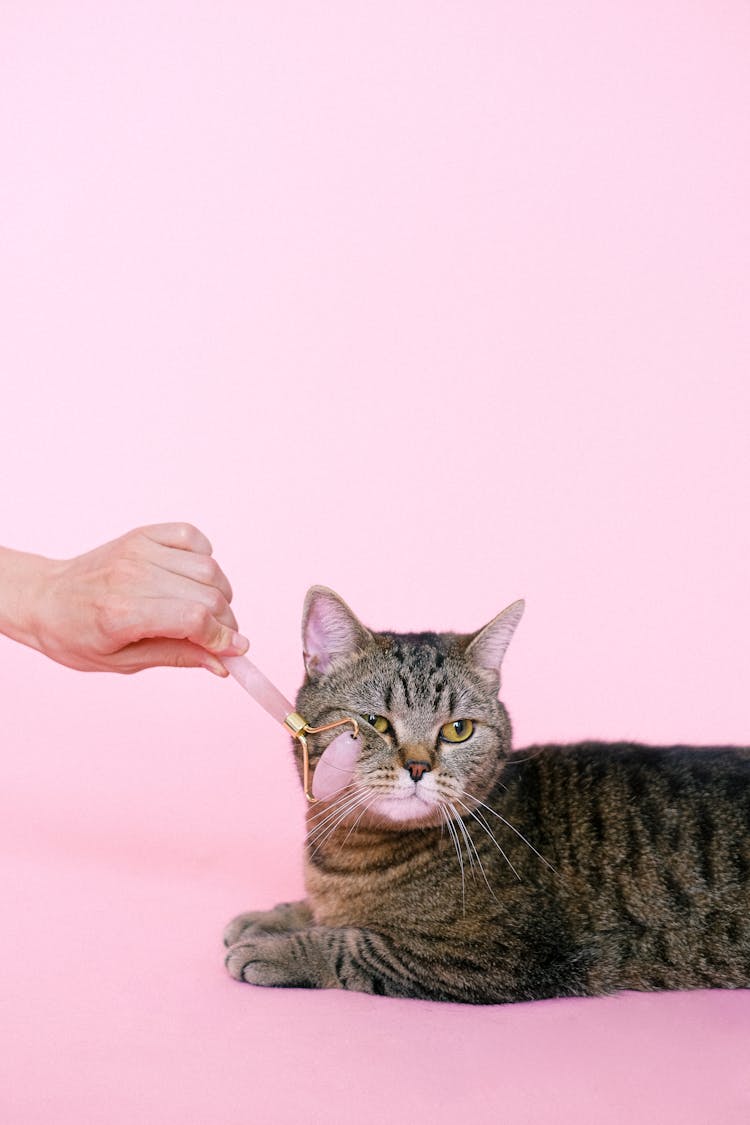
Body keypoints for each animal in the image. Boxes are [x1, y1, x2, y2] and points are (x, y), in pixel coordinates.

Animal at [226, 589, 750, 1003]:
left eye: (458, 730)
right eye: (375, 722)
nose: (418, 767)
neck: (347, 854)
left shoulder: (490, 953)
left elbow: (354, 945)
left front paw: (276, 947)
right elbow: (323, 914)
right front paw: (272, 917)